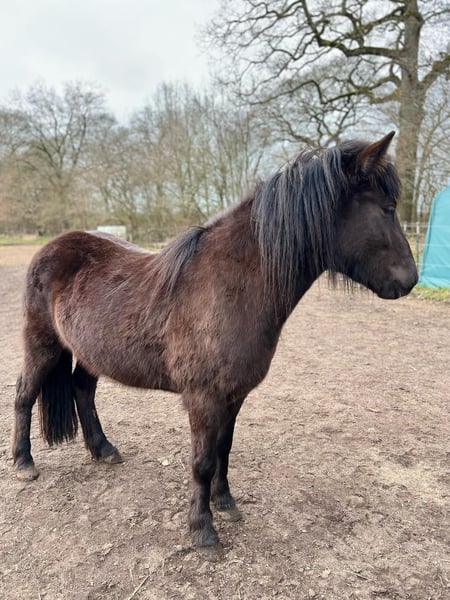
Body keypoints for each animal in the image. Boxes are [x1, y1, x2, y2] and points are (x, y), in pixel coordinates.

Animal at [12, 132, 418, 561]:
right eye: (388, 208)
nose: (411, 279)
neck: (229, 287)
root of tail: (53, 246)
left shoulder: (234, 394)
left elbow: (225, 447)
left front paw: (225, 502)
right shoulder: (204, 398)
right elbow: (203, 461)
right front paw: (203, 531)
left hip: (91, 353)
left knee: (82, 391)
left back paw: (103, 450)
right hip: (42, 345)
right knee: (25, 394)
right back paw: (24, 462)